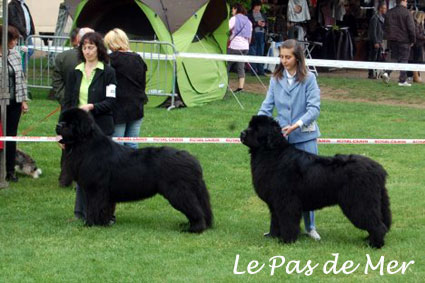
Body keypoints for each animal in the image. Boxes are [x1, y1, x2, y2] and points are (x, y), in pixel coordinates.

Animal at [55, 108, 211, 233]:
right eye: (62, 120)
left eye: (71, 123)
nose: (58, 125)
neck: (86, 145)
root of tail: (193, 160)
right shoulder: (105, 193)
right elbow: (105, 208)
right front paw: (104, 223)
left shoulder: (95, 189)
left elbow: (94, 207)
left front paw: (90, 224)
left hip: (178, 192)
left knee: (194, 209)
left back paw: (194, 229)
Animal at [238, 115, 390, 248]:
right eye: (250, 125)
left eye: (257, 128)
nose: (242, 133)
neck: (273, 154)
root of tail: (378, 169)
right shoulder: (275, 203)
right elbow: (275, 220)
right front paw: (273, 236)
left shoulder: (286, 201)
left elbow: (287, 221)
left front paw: (287, 240)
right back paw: (369, 239)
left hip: (360, 202)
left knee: (377, 224)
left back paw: (374, 244)